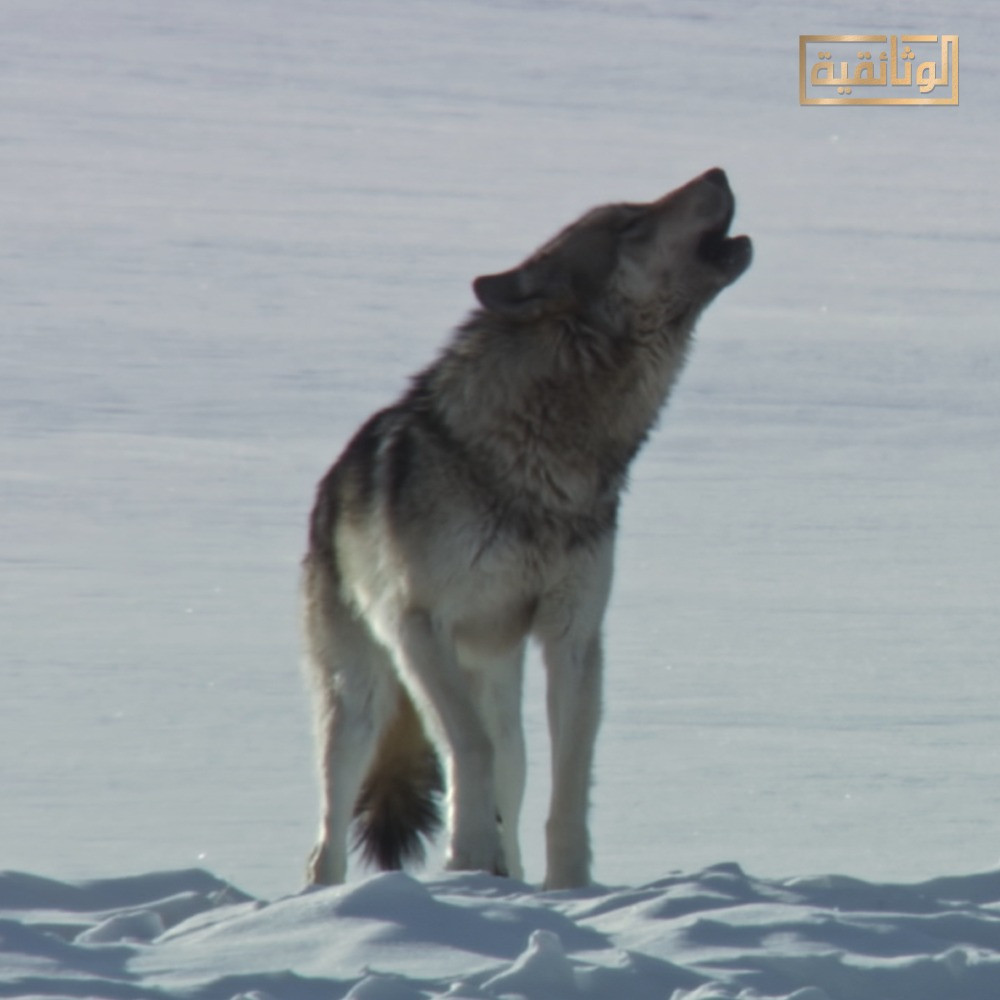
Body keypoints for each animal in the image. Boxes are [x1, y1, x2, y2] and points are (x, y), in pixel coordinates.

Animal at [304, 168, 752, 888]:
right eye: (627, 223)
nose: (718, 172)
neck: (542, 463)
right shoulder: (416, 625)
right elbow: (470, 751)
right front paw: (466, 858)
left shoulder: (574, 636)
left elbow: (568, 778)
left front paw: (569, 887)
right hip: (362, 699)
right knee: (332, 833)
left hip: (494, 670)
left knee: (511, 771)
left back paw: (506, 878)